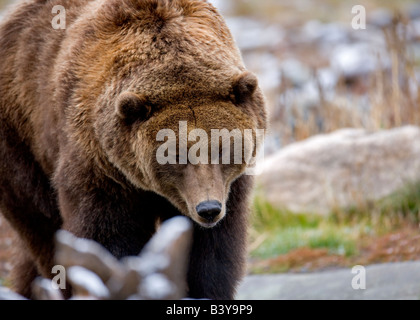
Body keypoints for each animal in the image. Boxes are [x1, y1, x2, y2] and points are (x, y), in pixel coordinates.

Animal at [0, 0, 266, 300]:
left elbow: (212, 252)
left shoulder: (229, 188)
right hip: (22, 136)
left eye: (222, 148)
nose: (208, 209)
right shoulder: (101, 168)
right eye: (176, 154)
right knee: (41, 224)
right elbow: (106, 238)